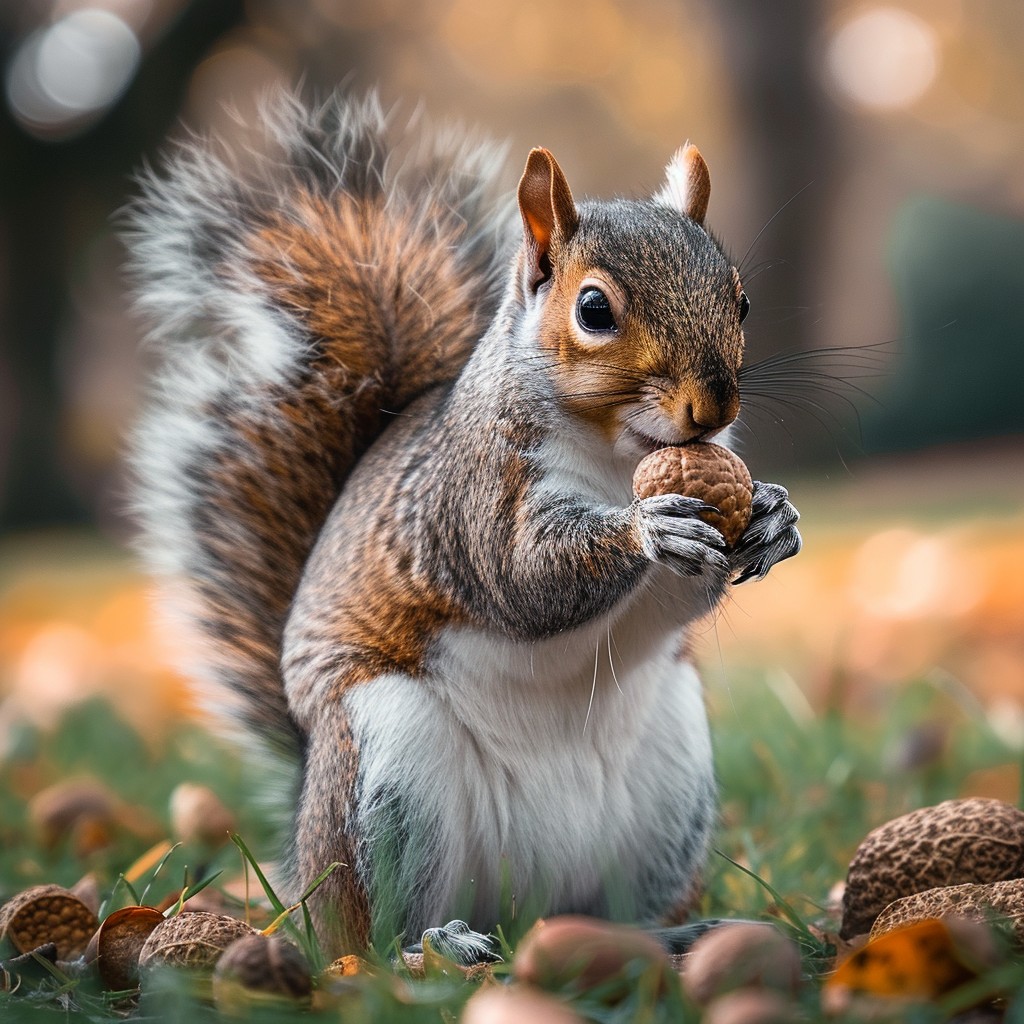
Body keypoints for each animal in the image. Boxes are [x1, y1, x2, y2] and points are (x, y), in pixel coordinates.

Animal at [127, 91, 801, 959]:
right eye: (593, 310)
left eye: (741, 299)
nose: (713, 405)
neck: (619, 456)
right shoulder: (470, 501)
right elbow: (524, 580)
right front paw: (649, 530)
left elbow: (677, 596)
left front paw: (775, 517)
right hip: (387, 768)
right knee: (371, 942)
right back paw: (431, 947)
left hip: (672, 776)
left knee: (619, 913)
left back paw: (675, 934)